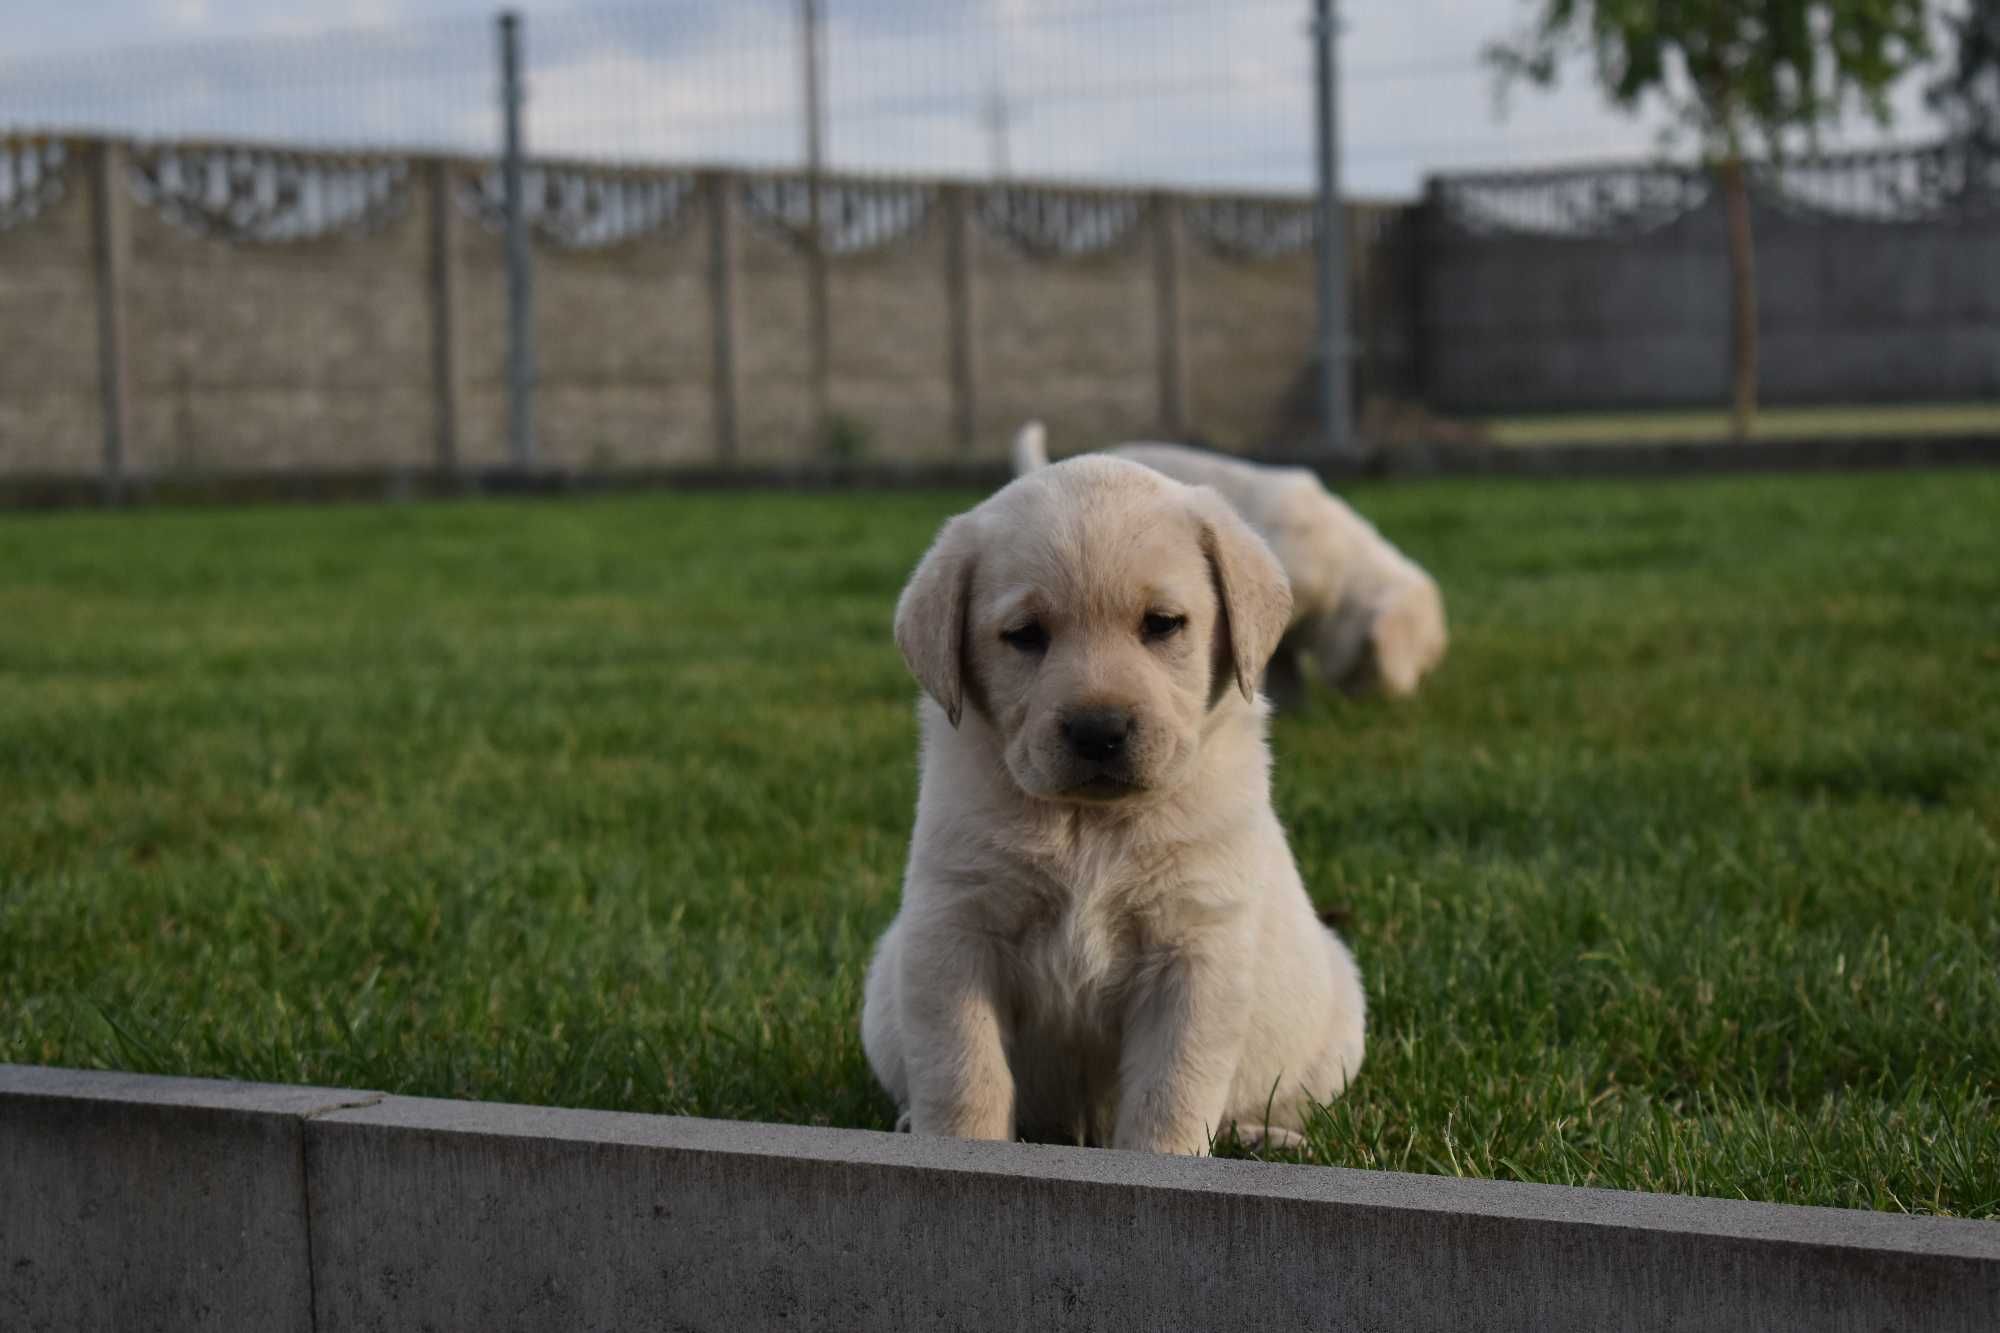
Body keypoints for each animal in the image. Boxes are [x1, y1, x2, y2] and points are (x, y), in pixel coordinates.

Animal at [868, 452, 1368, 1144]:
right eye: (1025, 635)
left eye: (1161, 625)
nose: (1098, 730)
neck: (1092, 824)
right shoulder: (953, 932)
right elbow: (963, 1073)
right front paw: (957, 1145)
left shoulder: (1194, 955)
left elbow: (1170, 1096)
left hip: (1337, 1018)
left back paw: (1262, 1134)